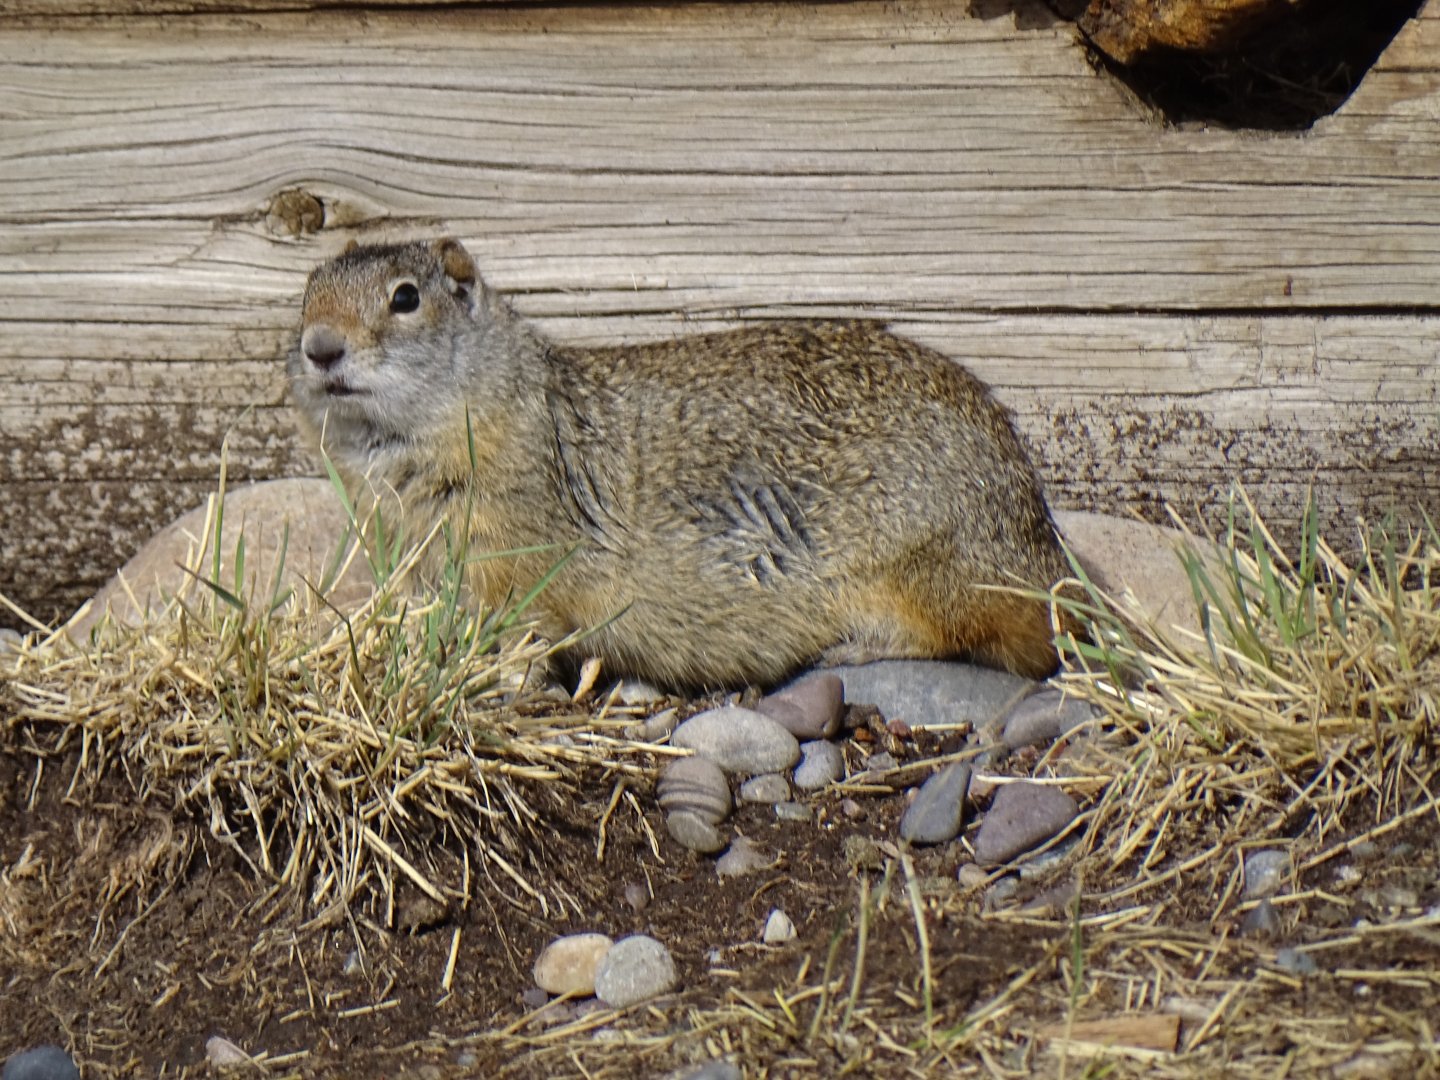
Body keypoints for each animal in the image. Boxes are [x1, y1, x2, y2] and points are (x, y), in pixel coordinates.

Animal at [289, 238, 1076, 689]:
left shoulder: (508, 560)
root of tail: (1038, 538)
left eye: (405, 297)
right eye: (306, 292)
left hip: (924, 570)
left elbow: (522, 633)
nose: (318, 347)